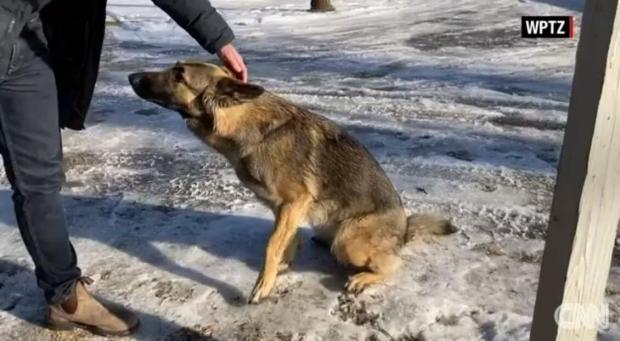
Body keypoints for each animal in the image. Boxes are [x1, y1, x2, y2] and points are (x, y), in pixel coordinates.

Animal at [128, 62, 456, 302]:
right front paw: (283, 264)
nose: (131, 76)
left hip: (349, 242)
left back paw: (363, 277)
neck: (247, 126)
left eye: (179, 74)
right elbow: (286, 238)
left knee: (393, 263)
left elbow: (272, 244)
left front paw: (264, 283)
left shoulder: (294, 201)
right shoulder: (285, 206)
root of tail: (404, 230)